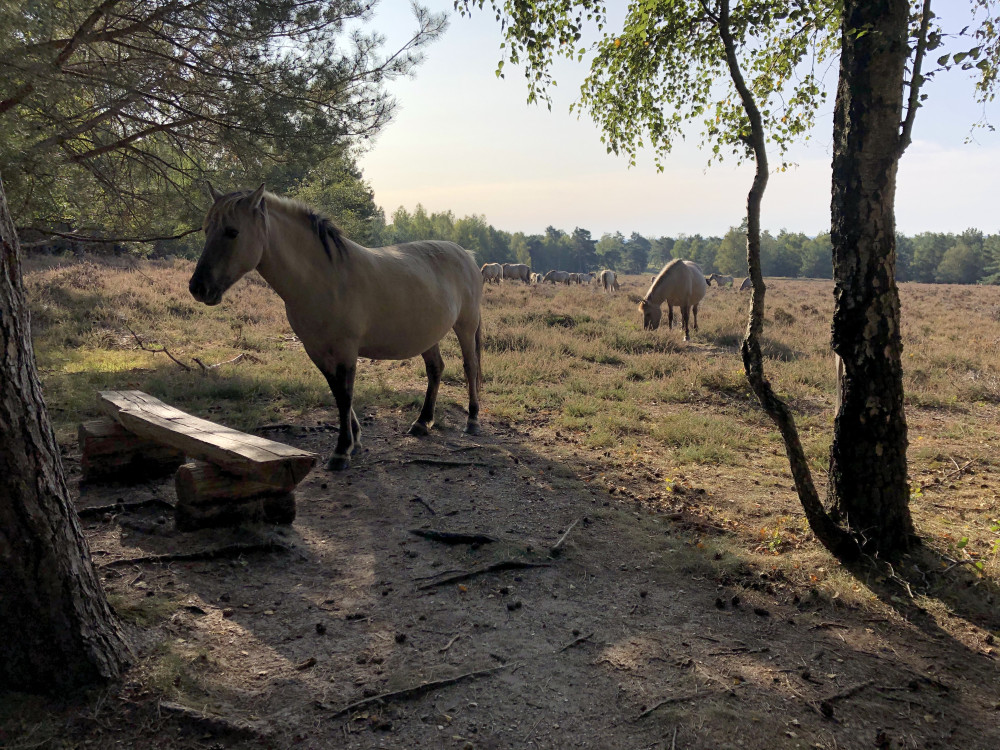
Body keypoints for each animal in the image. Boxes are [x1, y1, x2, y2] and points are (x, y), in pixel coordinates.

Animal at [190, 184, 484, 470]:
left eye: (232, 232)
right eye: (206, 229)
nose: (198, 288)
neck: (324, 279)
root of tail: (466, 255)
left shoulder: (345, 350)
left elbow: (344, 395)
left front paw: (342, 451)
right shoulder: (317, 350)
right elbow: (337, 392)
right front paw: (355, 440)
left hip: (466, 326)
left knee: (470, 367)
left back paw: (472, 420)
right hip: (427, 336)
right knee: (435, 369)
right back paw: (422, 422)